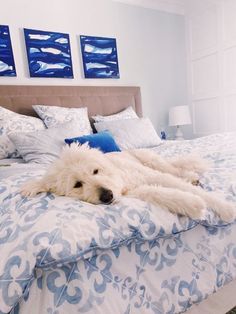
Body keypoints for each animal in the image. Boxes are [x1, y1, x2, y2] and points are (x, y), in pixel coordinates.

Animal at [21, 144, 235, 222]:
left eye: (95, 171)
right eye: (77, 184)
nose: (107, 196)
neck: (121, 181)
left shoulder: (155, 177)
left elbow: (200, 193)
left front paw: (226, 208)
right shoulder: (141, 191)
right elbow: (164, 195)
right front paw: (193, 204)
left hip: (153, 161)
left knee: (173, 169)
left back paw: (191, 176)